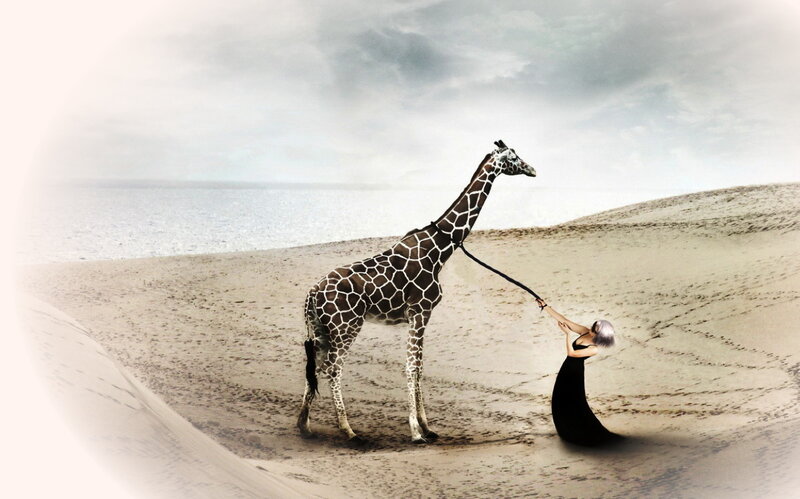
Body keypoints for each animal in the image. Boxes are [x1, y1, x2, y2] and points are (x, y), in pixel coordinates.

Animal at [297, 140, 536, 444]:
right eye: (514, 156)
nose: (533, 169)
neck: (441, 247)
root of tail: (312, 293)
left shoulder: (418, 315)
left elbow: (419, 367)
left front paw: (428, 428)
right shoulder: (421, 311)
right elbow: (412, 367)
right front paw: (415, 431)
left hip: (320, 330)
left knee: (314, 367)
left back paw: (303, 425)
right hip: (346, 327)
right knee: (332, 368)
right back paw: (349, 431)